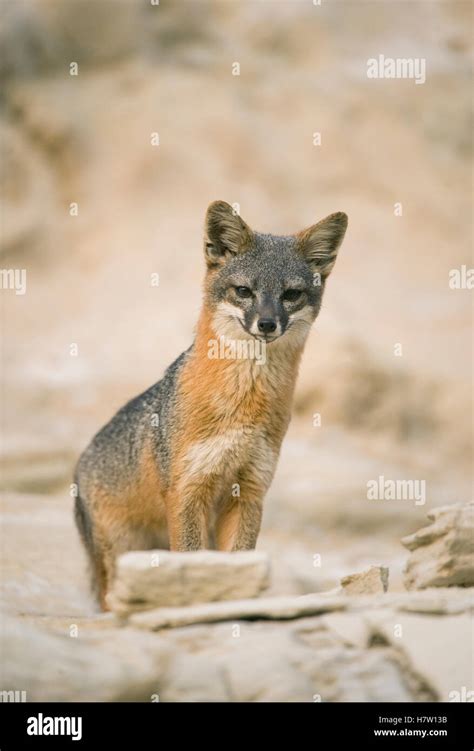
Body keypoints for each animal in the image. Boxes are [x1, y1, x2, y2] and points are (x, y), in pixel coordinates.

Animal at [75, 201, 348, 612]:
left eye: (291, 295)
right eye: (244, 291)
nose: (267, 324)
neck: (244, 407)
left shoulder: (250, 490)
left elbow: (240, 563)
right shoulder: (188, 490)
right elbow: (192, 560)